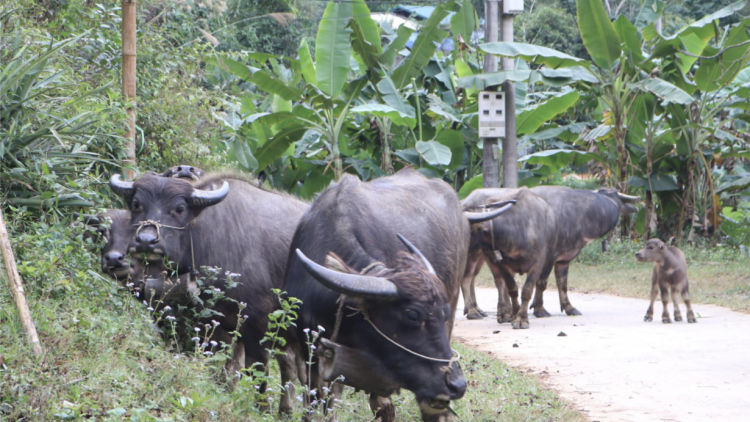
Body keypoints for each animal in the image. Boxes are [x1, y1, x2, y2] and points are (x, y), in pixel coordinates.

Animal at [109, 171, 312, 412]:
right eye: (136, 204)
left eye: (180, 209)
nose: (146, 241)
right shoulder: (216, 325)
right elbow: (226, 371)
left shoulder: (258, 325)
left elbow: (258, 372)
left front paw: (260, 408)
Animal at [462, 188, 560, 330]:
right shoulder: (502, 264)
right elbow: (512, 288)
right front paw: (515, 315)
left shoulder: (538, 263)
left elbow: (527, 290)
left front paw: (521, 318)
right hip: (476, 255)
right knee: (469, 279)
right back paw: (474, 312)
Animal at [528, 186, 640, 318]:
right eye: (612, 192)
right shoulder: (548, 258)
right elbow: (541, 283)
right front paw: (540, 310)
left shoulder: (564, 259)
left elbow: (563, 284)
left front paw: (569, 308)